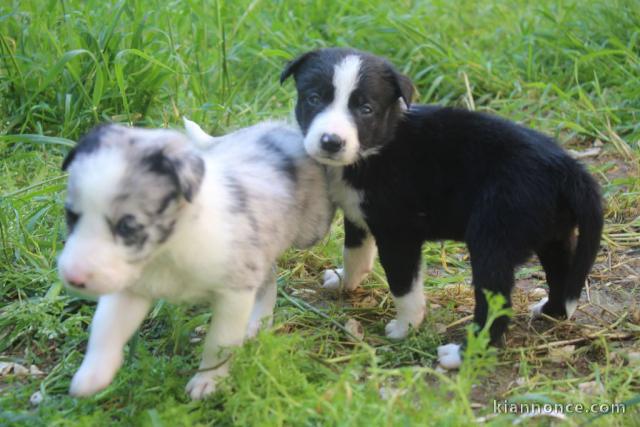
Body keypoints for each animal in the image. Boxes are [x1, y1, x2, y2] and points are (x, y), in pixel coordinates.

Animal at [57, 118, 336, 400]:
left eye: (127, 226)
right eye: (71, 216)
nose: (73, 278)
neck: (168, 249)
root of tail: (280, 126)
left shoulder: (234, 292)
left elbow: (219, 344)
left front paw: (208, 381)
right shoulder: (131, 288)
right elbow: (106, 328)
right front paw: (92, 375)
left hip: (309, 231)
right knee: (268, 277)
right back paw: (258, 322)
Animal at [278, 46, 600, 368]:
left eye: (365, 109)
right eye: (314, 98)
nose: (331, 141)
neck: (379, 147)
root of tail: (568, 168)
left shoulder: (399, 233)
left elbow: (403, 285)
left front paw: (405, 326)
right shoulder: (359, 213)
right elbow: (354, 253)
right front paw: (344, 280)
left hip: (493, 240)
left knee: (497, 304)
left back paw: (461, 354)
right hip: (553, 233)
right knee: (562, 273)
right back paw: (552, 311)